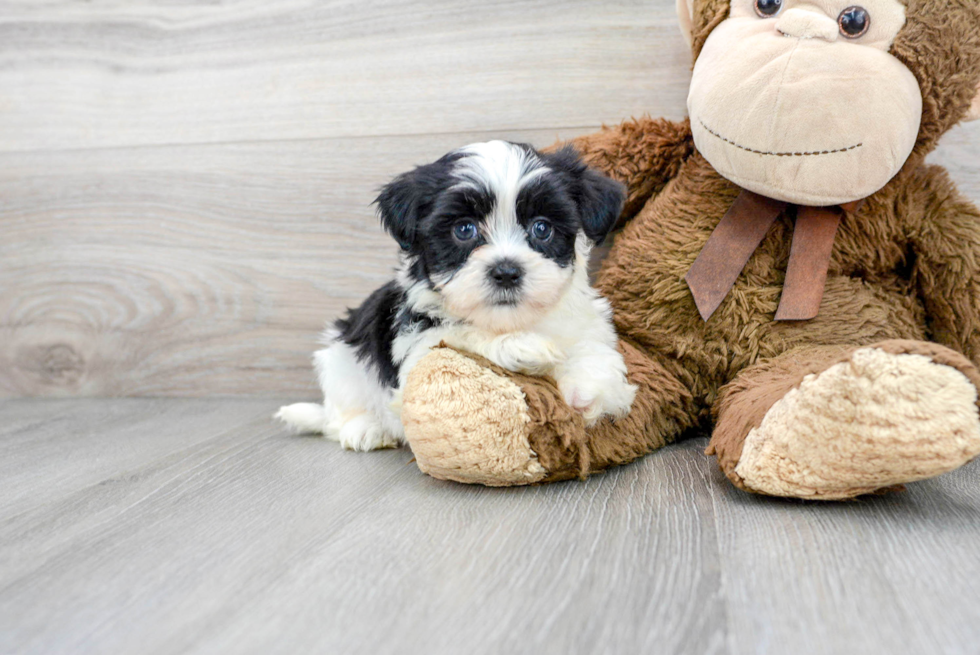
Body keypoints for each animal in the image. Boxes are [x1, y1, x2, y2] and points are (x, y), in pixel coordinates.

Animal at [280, 142, 640, 452]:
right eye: (464, 230)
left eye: (542, 228)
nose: (506, 271)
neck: (514, 321)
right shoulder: (418, 352)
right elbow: (461, 335)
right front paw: (520, 346)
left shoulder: (584, 321)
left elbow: (591, 346)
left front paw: (590, 386)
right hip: (341, 359)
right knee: (342, 409)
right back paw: (366, 428)